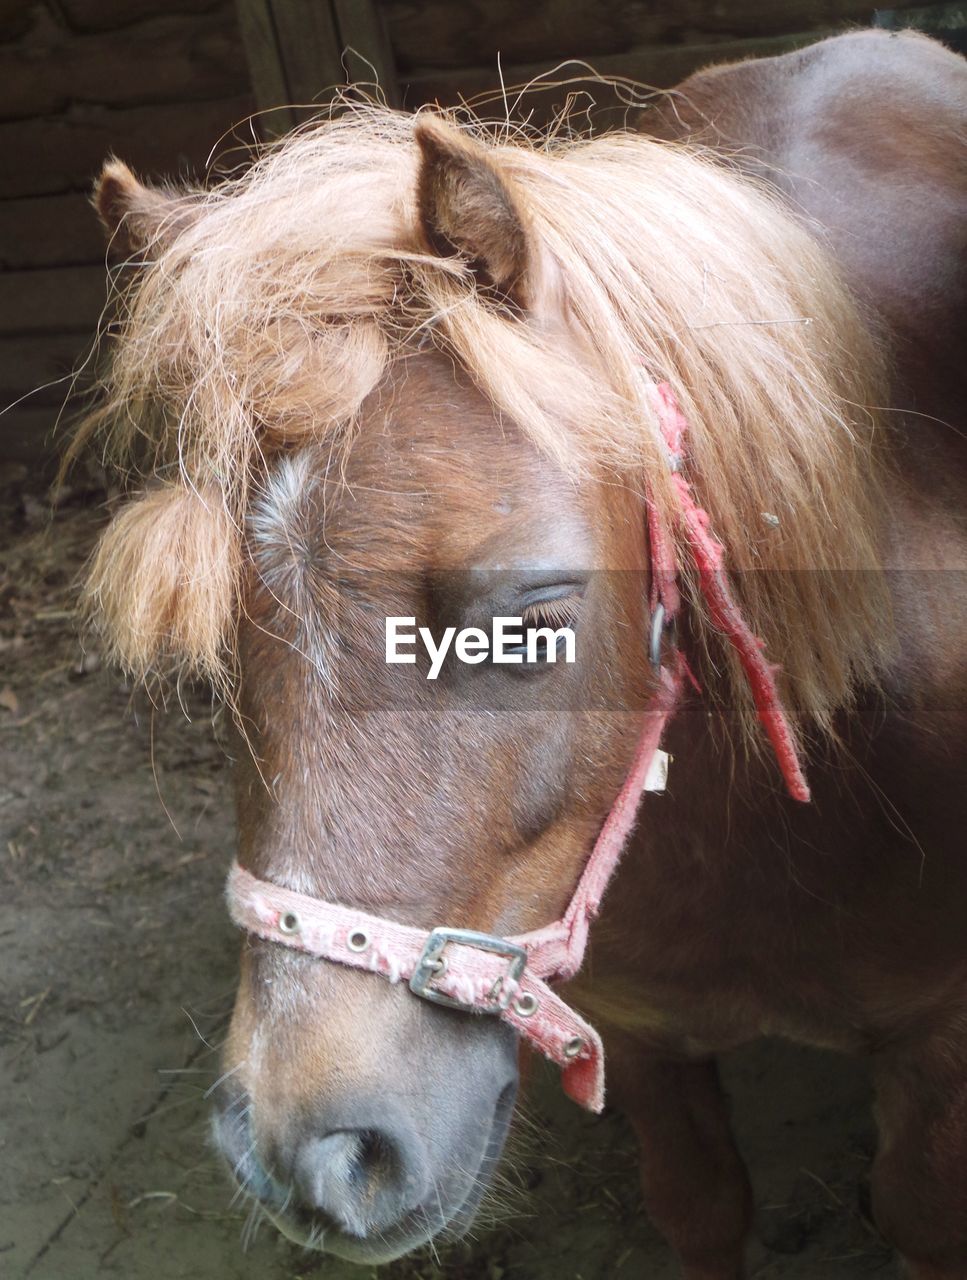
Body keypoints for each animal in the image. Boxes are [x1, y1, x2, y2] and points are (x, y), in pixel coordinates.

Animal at [77, 30, 967, 1280]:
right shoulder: (643, 1038)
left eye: (534, 606)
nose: (309, 1154)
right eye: (213, 654)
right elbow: (701, 1203)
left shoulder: (937, 1051)